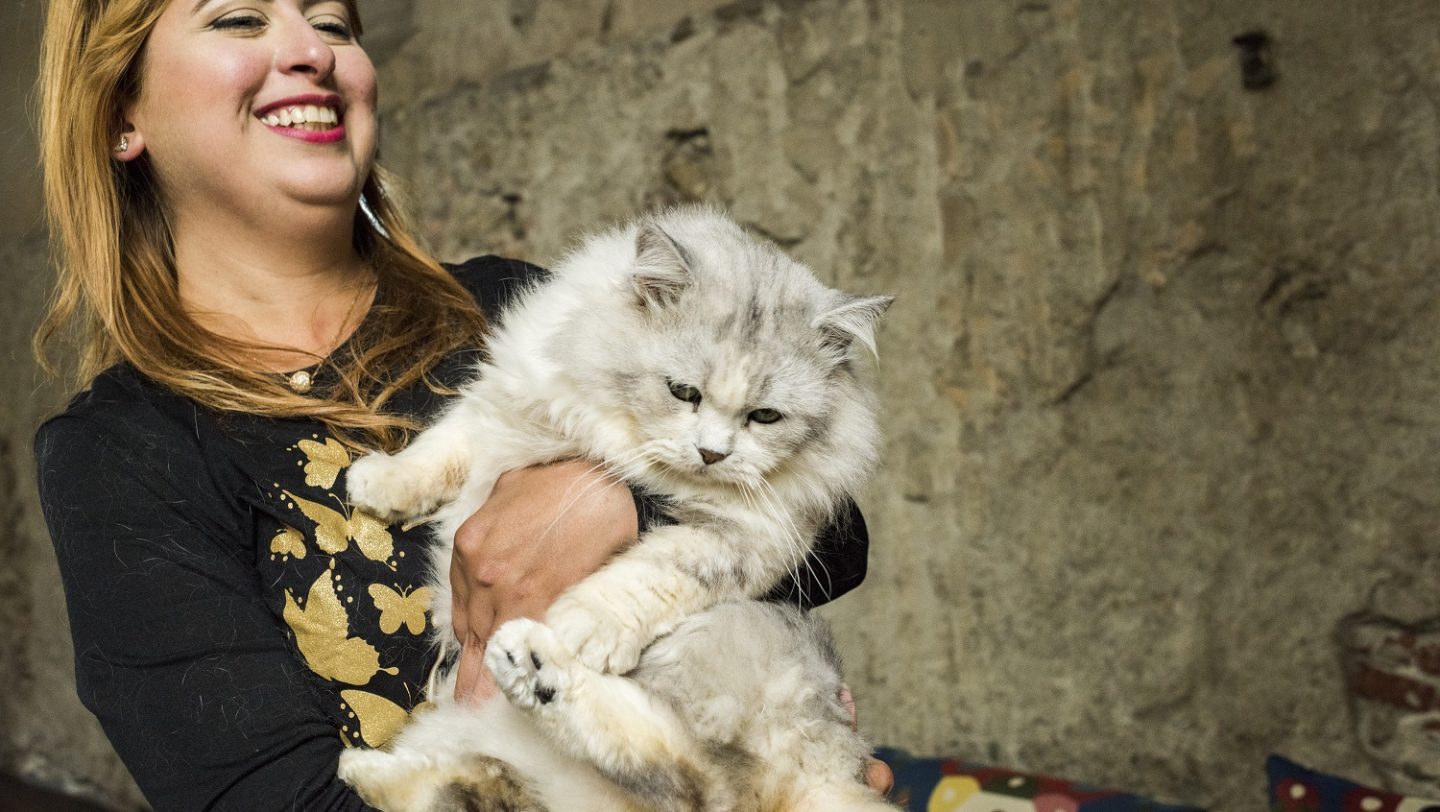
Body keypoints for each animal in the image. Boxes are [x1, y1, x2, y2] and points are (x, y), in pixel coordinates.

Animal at [341, 208, 892, 812]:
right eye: (683, 392)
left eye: (765, 416)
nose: (712, 454)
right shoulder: (507, 400)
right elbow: (444, 445)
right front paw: (375, 484)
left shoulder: (749, 537)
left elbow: (648, 576)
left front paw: (580, 628)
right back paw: (369, 765)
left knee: (696, 776)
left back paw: (535, 660)